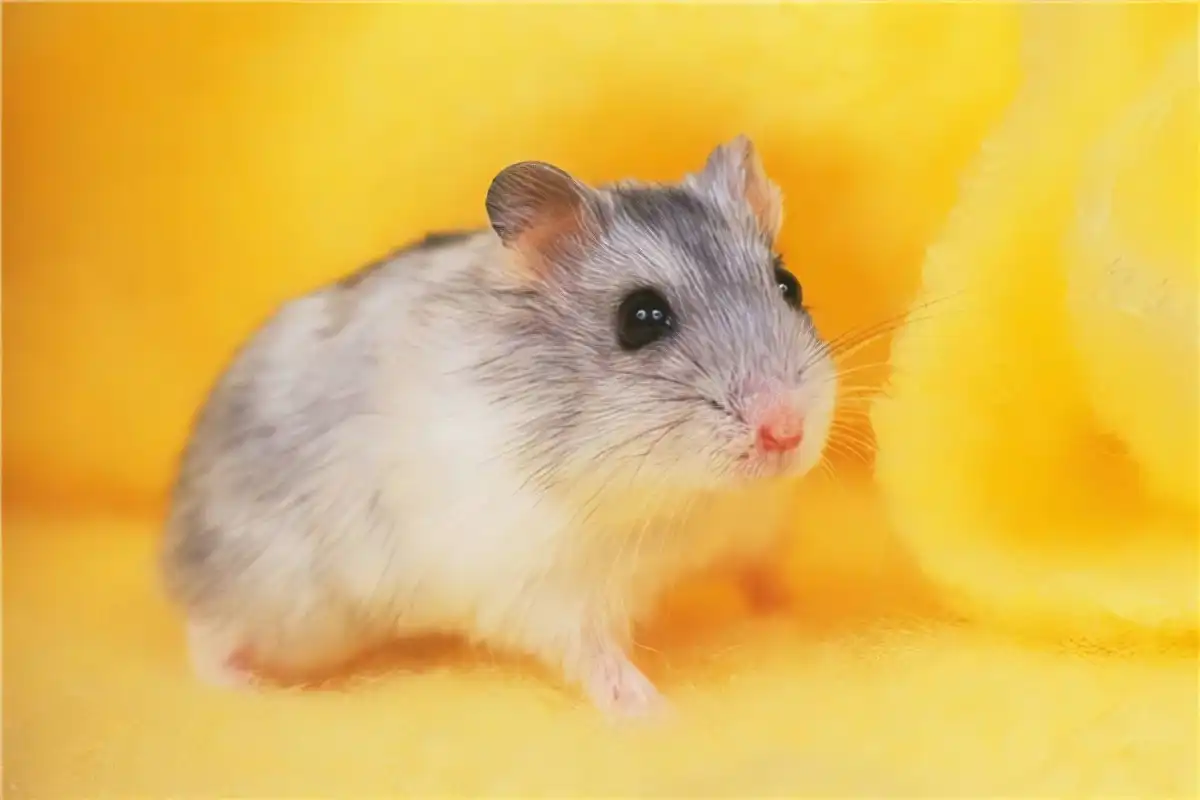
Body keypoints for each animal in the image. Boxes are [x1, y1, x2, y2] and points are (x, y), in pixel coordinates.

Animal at [160, 135, 837, 717]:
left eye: (789, 284)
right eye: (640, 319)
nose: (786, 432)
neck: (685, 499)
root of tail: (173, 539)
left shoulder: (751, 527)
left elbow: (765, 573)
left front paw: (798, 609)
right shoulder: (547, 586)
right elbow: (596, 657)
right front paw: (658, 716)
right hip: (280, 601)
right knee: (204, 631)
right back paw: (240, 687)